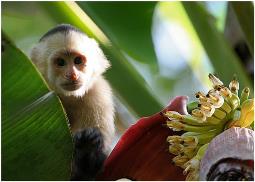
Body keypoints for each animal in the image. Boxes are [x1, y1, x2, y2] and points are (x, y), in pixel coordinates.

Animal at [30, 24, 116, 181]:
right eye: (61, 62)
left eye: (77, 61)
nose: (73, 75)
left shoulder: (99, 95)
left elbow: (92, 171)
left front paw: (88, 145)